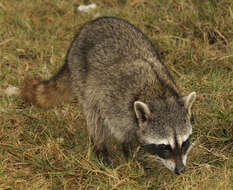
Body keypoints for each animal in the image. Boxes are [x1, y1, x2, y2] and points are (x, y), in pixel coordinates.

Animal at [21, 17, 197, 174]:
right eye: (164, 146)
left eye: (184, 143)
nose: (180, 170)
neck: (158, 94)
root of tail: (89, 25)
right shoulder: (116, 104)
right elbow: (119, 131)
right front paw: (128, 153)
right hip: (82, 75)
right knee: (93, 115)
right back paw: (100, 148)